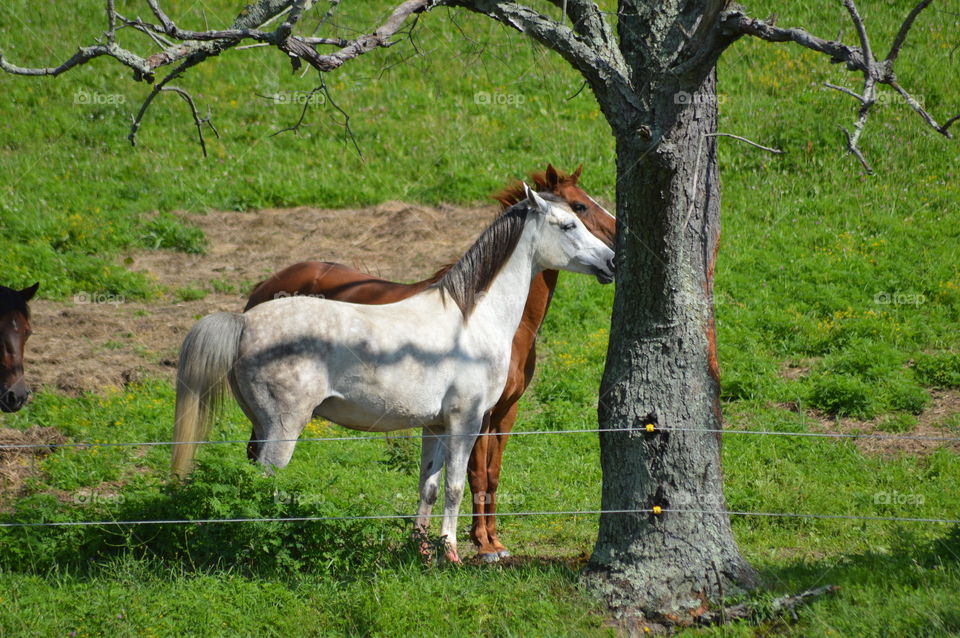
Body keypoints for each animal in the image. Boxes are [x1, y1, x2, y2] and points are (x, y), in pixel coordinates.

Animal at [171, 188, 615, 563]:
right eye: (570, 221)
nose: (611, 260)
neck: (472, 320)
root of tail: (244, 321)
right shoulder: (467, 421)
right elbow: (456, 486)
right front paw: (452, 553)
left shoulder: (435, 426)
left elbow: (428, 487)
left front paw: (422, 551)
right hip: (283, 428)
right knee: (266, 478)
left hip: (263, 426)